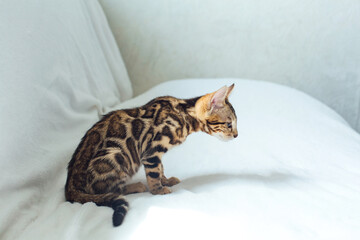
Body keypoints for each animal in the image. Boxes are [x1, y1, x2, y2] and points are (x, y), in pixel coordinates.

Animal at [65, 84, 238, 227]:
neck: (182, 114)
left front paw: (166, 180)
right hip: (116, 155)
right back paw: (135, 186)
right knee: (109, 189)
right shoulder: (151, 150)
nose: (236, 135)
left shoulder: (157, 153)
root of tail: (69, 187)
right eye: (229, 124)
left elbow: (160, 168)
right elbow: (154, 173)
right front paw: (158, 190)